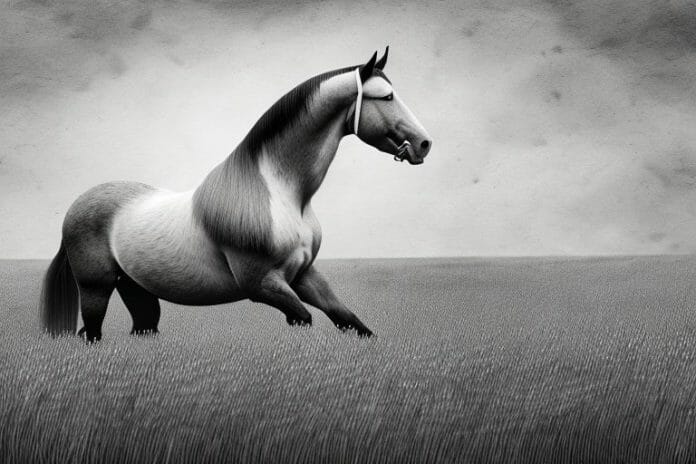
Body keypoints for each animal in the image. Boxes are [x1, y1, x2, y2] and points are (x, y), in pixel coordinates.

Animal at [40, 47, 432, 342]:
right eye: (387, 96)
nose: (424, 144)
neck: (283, 193)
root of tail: (77, 206)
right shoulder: (262, 284)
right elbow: (303, 319)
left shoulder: (303, 275)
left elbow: (347, 318)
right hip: (96, 288)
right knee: (92, 333)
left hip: (137, 290)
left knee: (142, 327)